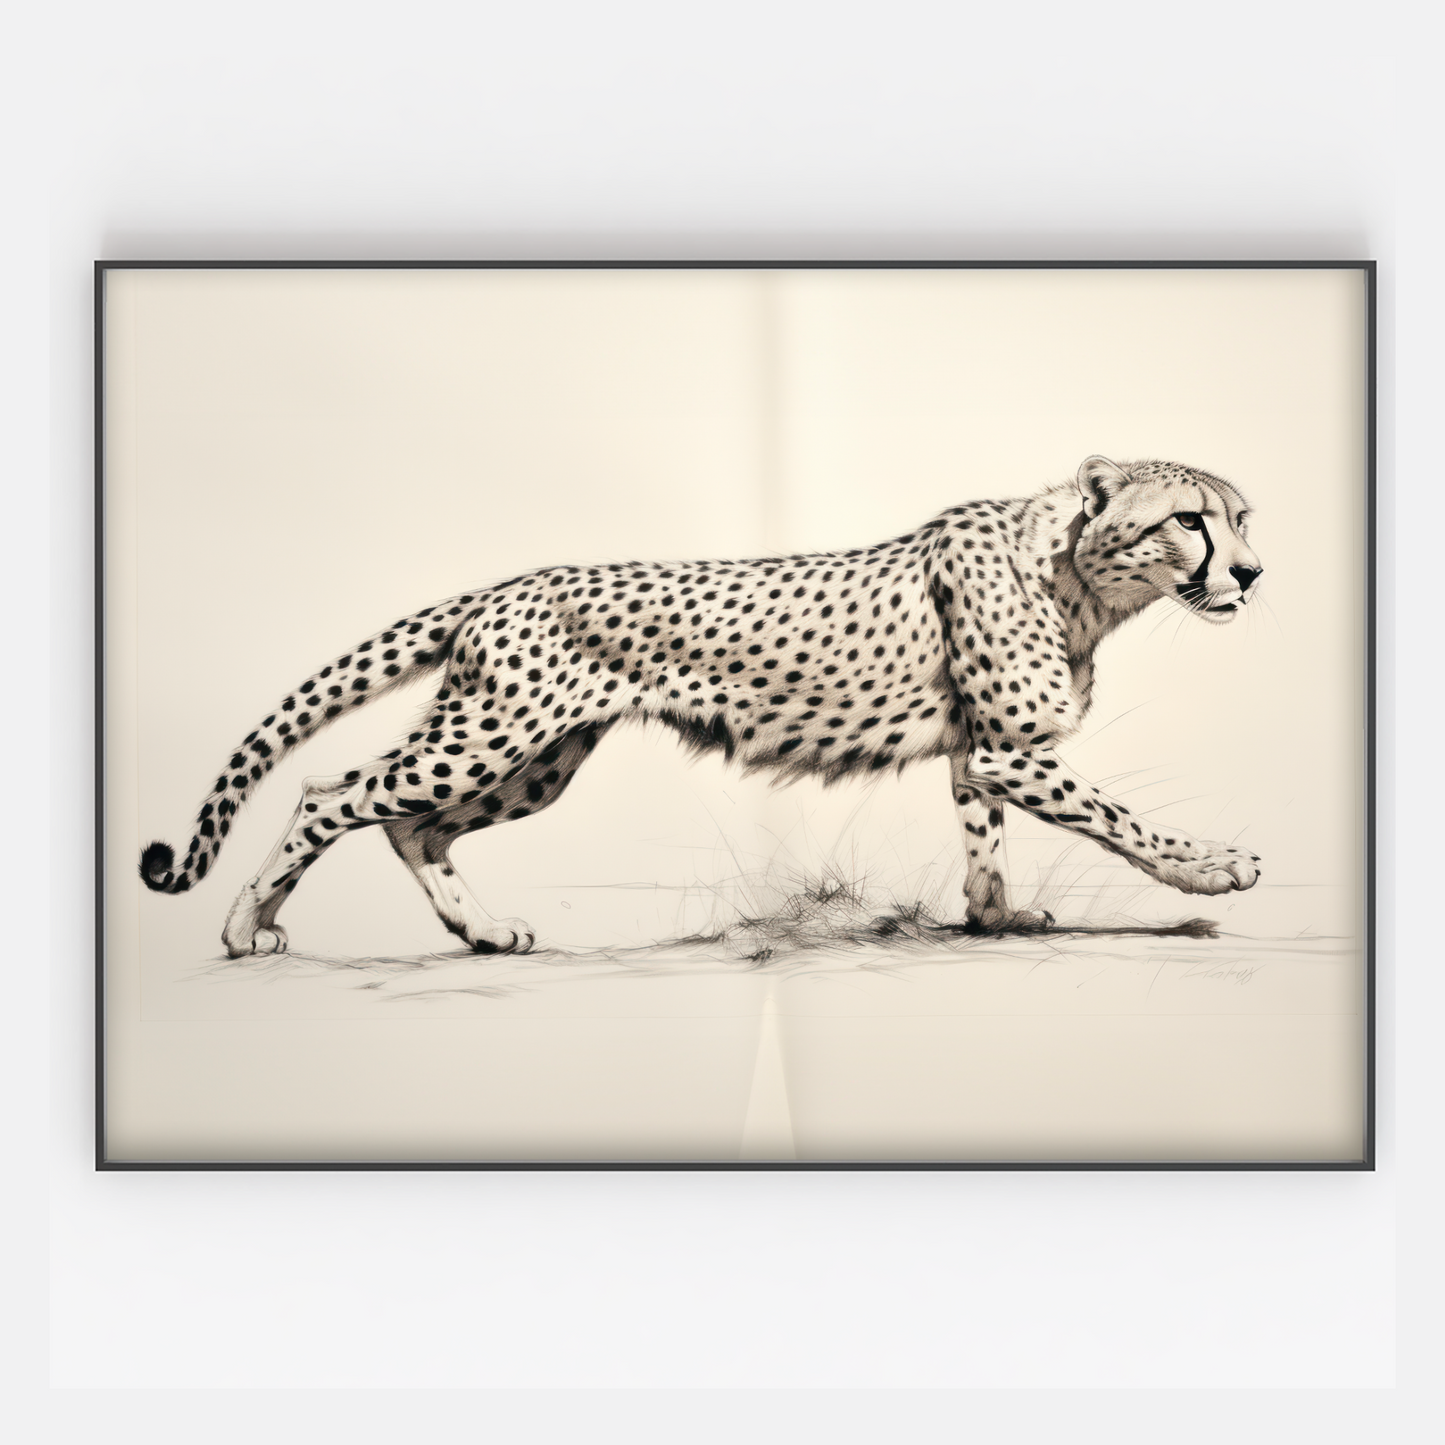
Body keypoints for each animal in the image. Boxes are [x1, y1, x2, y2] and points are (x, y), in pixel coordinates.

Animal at [140, 455, 1263, 957]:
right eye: (1186, 521)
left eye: (1242, 517)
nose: (1251, 573)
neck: (1077, 572)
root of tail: (505, 584)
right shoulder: (1010, 750)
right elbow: (1119, 819)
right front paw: (1213, 867)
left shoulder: (980, 751)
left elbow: (983, 841)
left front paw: (996, 916)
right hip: (489, 736)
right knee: (333, 790)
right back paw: (243, 926)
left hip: (537, 760)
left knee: (413, 825)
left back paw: (483, 930)